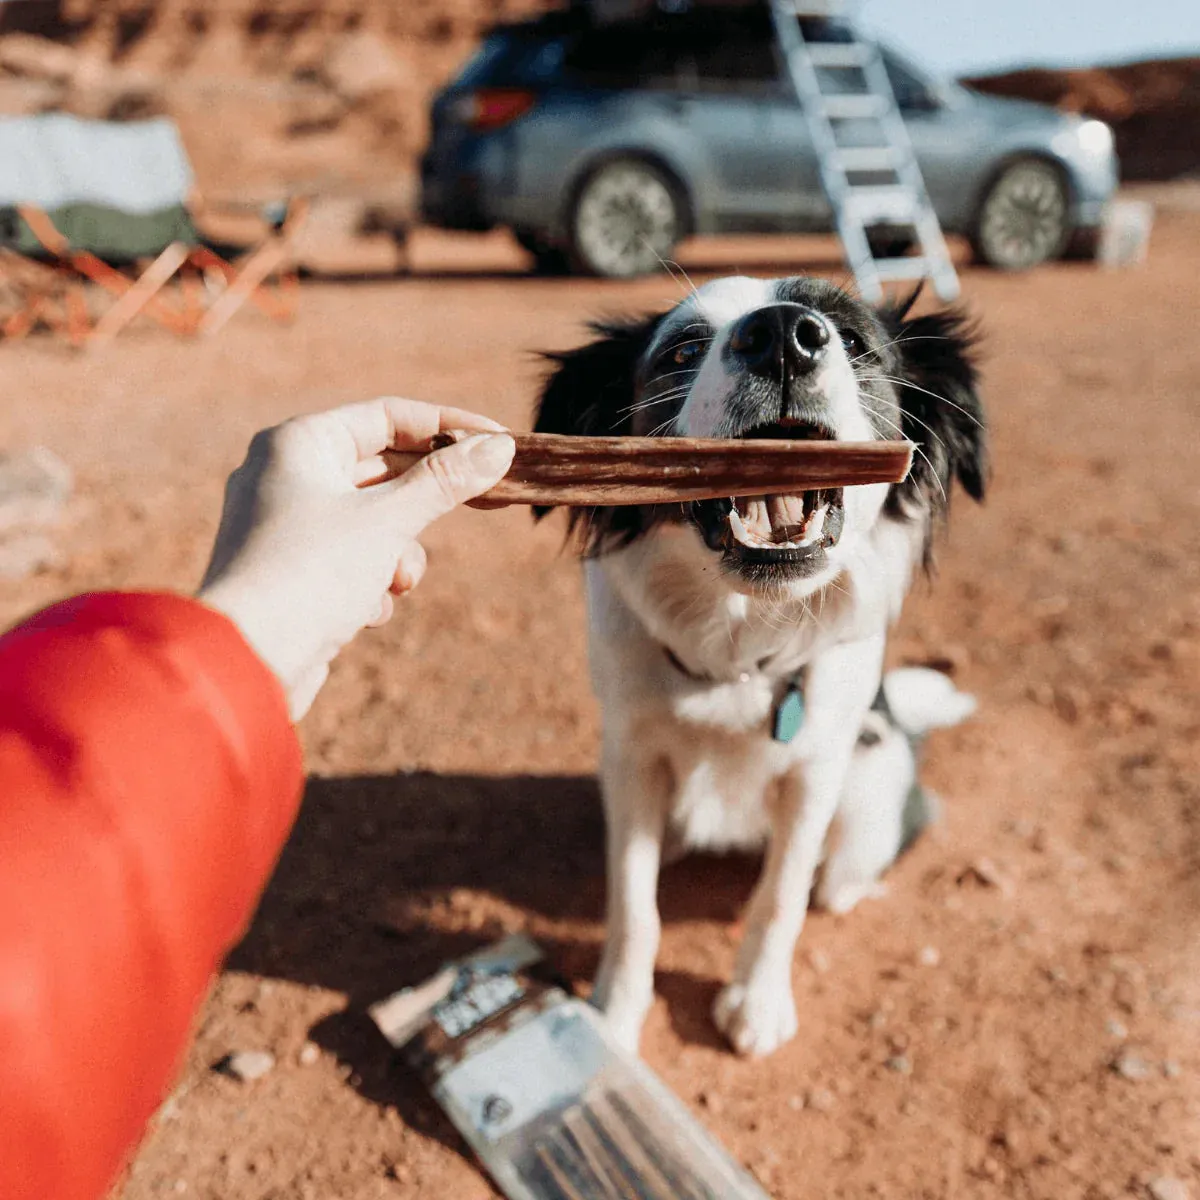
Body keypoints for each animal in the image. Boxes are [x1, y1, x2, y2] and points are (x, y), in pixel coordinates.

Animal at [532, 276, 984, 1056]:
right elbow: (633, 903)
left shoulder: (815, 773)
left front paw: (757, 1003)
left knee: (838, 876)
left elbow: (780, 896)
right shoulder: (631, 755)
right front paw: (614, 1013)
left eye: (854, 339)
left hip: (870, 783)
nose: (780, 337)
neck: (738, 645)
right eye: (683, 350)